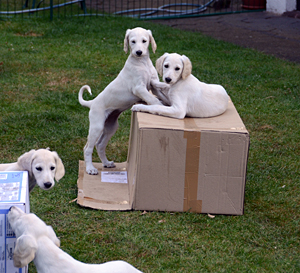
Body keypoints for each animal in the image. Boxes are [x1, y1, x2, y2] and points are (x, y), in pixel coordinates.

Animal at [78, 26, 170, 173]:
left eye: (144, 41)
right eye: (132, 41)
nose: (139, 52)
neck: (142, 63)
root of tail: (92, 102)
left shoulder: (153, 85)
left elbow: (159, 95)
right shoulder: (139, 88)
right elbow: (154, 100)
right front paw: (160, 107)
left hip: (110, 126)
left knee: (100, 145)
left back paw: (106, 163)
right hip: (97, 126)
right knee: (88, 148)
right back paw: (90, 168)